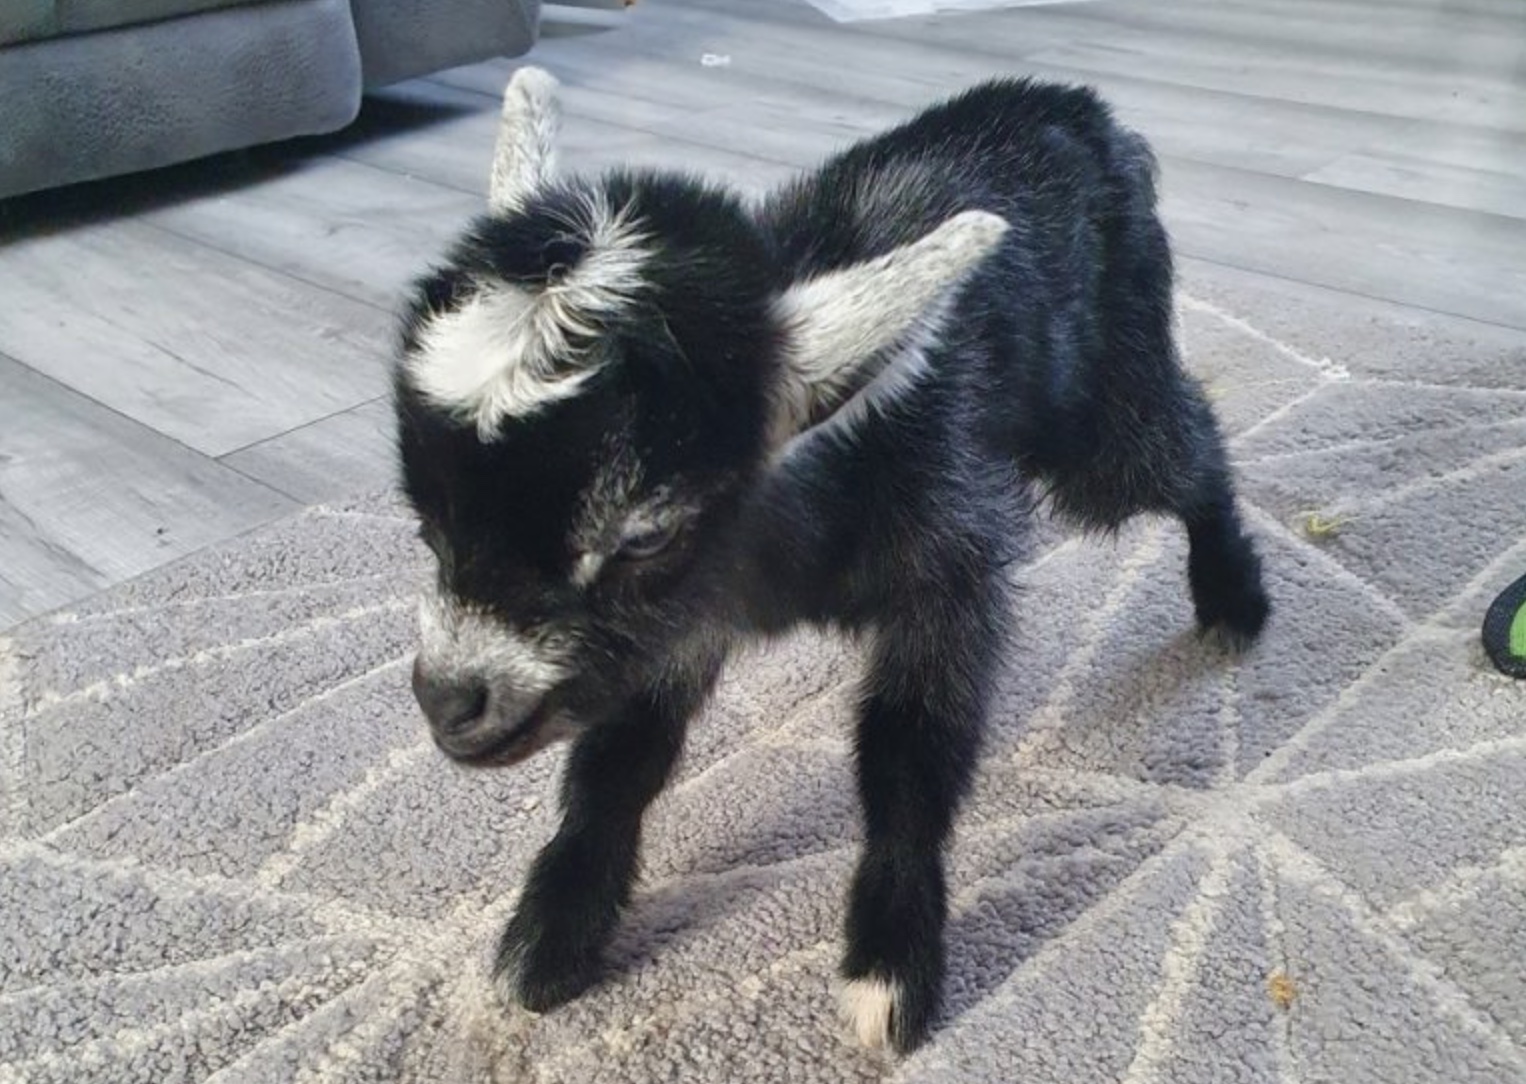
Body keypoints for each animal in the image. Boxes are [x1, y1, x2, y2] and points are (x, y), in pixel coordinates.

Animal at [390, 67, 1270, 1054]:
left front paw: (890, 963)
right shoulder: (679, 622)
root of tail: (1080, 108)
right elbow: (617, 761)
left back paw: (1233, 594)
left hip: (1102, 405)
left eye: (643, 535)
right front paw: (551, 930)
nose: (448, 702)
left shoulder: (946, 554)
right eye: (426, 515)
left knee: (1183, 449)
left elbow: (907, 750)